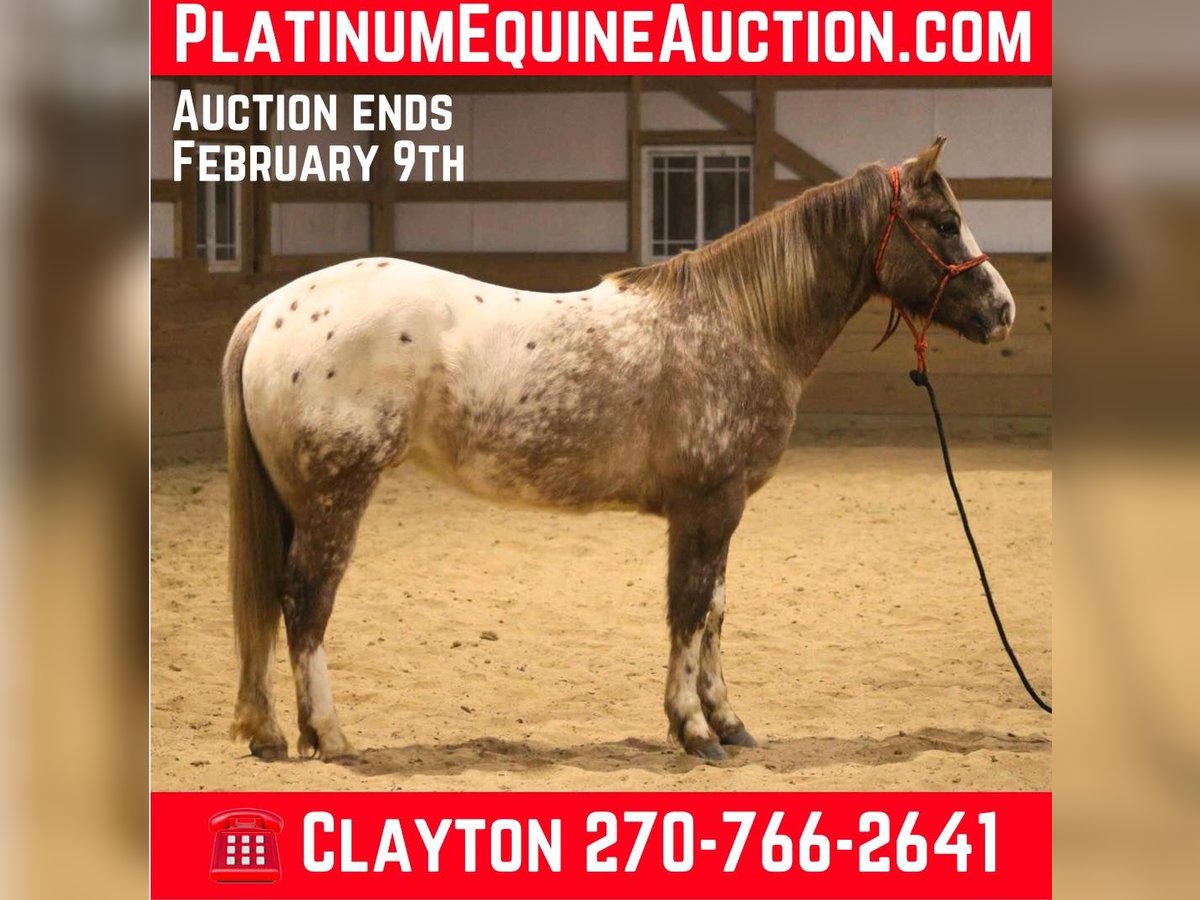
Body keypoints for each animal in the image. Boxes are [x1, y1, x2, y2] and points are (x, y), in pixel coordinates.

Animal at [222, 137, 1015, 762]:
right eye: (946, 223)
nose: (1002, 308)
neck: (737, 323)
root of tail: (272, 308)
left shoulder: (719, 511)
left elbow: (715, 609)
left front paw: (728, 722)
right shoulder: (707, 508)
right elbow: (689, 610)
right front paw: (694, 731)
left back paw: (270, 733)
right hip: (336, 496)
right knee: (306, 599)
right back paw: (329, 735)